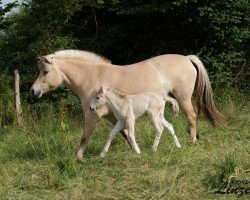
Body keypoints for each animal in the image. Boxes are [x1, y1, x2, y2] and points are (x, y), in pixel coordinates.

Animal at [30, 49, 225, 159]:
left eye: (45, 71)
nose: (33, 91)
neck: (90, 77)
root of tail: (186, 58)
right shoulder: (113, 116)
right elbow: (123, 134)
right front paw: (133, 150)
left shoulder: (92, 115)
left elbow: (84, 137)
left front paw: (78, 157)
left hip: (183, 98)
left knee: (191, 117)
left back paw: (192, 141)